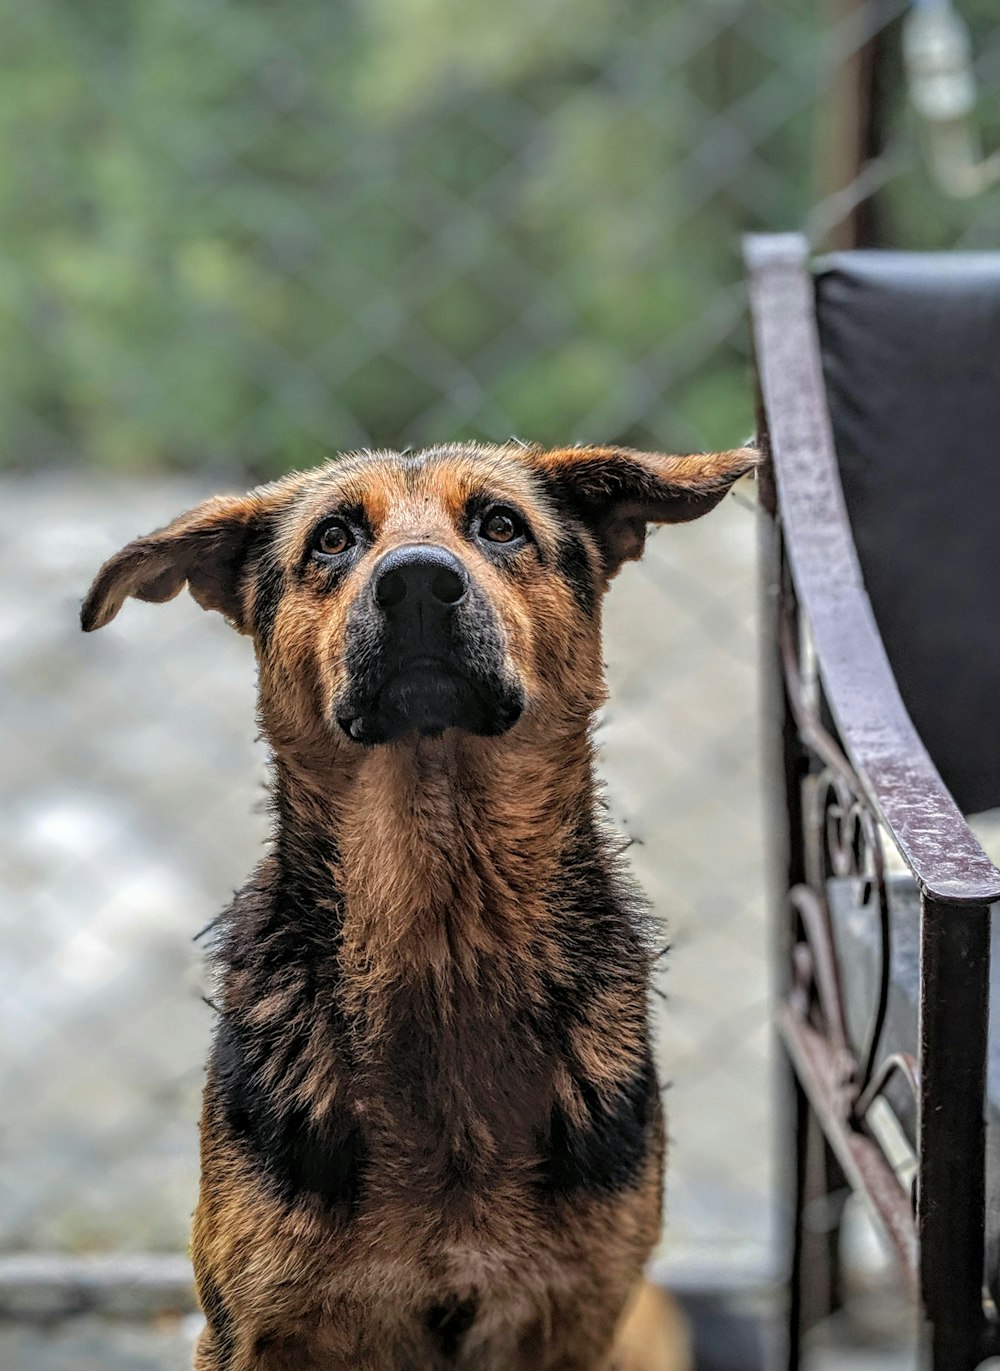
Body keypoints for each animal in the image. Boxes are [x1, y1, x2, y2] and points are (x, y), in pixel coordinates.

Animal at [85, 444, 751, 1365]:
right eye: (333, 538)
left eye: (501, 524)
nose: (419, 583)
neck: (444, 928)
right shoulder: (252, 1325)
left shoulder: (579, 1312)